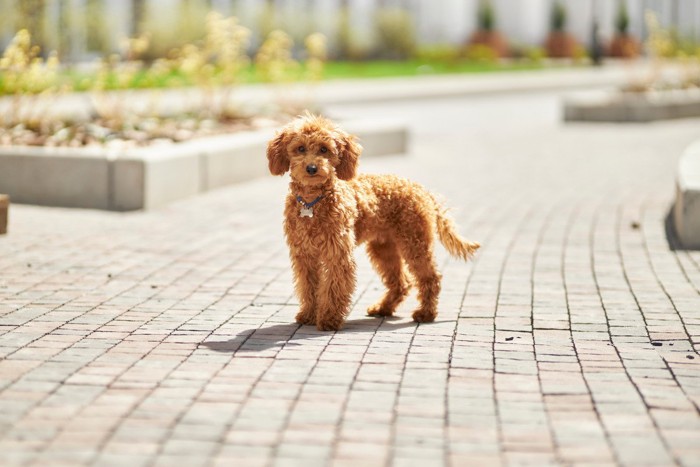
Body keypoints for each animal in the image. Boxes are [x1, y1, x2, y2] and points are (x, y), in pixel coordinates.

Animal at [266, 114, 478, 330]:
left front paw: (329, 319)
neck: (312, 203)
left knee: (430, 277)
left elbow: (334, 286)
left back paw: (425, 313)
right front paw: (309, 315)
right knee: (402, 283)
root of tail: (420, 189)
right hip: (384, 248)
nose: (311, 168)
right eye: (300, 148)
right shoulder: (305, 255)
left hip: (415, 242)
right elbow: (309, 287)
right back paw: (383, 308)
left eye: (324, 149)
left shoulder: (338, 253)